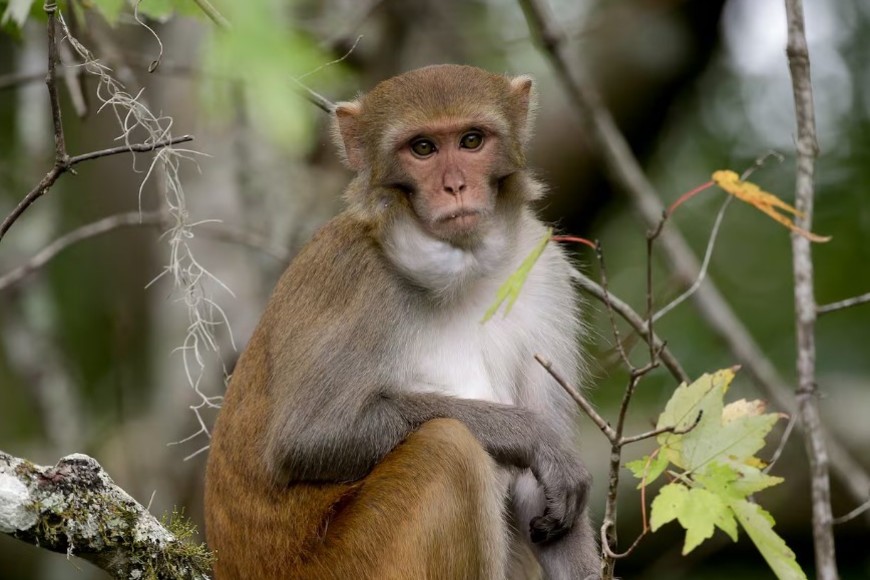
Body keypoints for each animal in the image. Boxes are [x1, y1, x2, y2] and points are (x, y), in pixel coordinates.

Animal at [204, 64, 600, 579]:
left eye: (471, 141)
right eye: (423, 148)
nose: (455, 186)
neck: (465, 269)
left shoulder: (543, 270)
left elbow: (542, 501)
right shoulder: (353, 276)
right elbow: (308, 438)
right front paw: (531, 436)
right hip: (347, 564)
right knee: (448, 447)